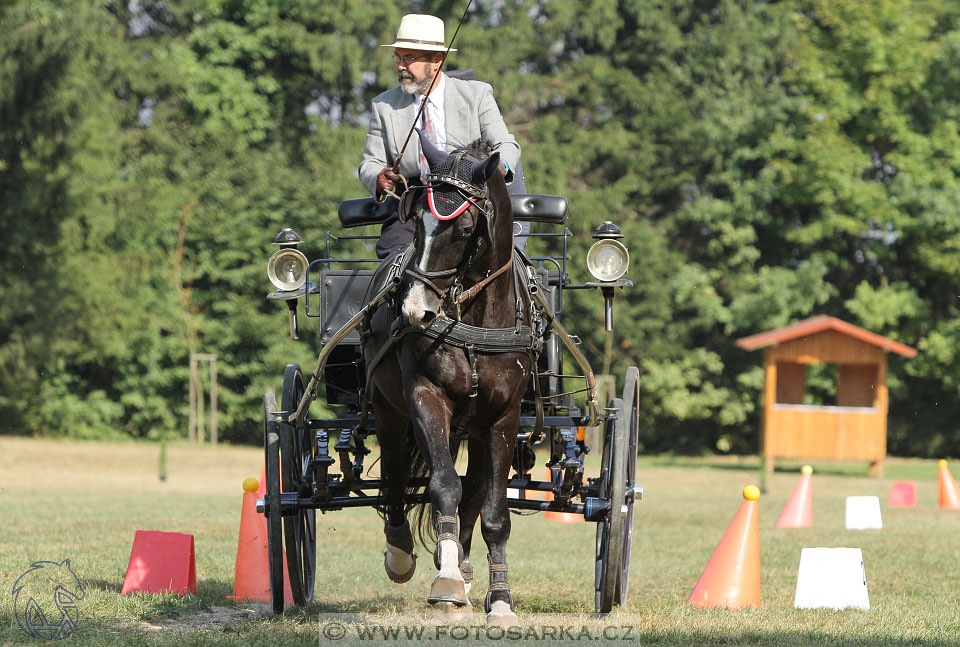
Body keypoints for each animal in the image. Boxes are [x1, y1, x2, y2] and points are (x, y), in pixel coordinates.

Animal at [362, 135, 540, 628]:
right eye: (416, 221)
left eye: (462, 230)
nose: (414, 310)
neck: (475, 315)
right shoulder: (426, 397)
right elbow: (442, 485)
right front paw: (444, 581)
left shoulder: (504, 417)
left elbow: (494, 511)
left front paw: (500, 600)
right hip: (388, 409)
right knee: (395, 473)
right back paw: (404, 553)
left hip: (477, 429)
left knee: (475, 490)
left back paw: (462, 563)